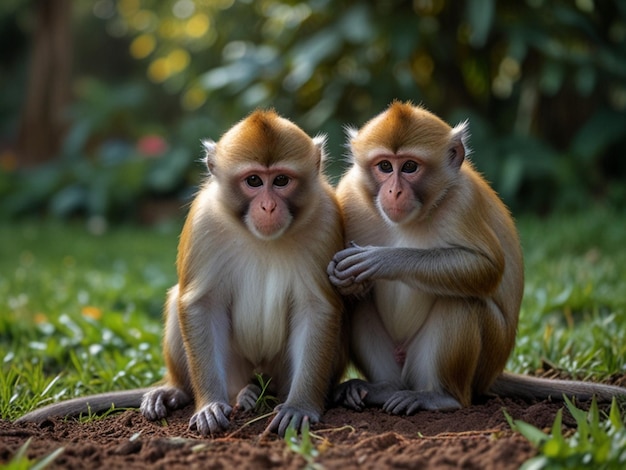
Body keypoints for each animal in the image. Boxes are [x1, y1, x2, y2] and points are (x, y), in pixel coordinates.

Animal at [17, 111, 346, 436]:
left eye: (281, 180)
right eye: (253, 180)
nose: (267, 206)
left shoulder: (326, 217)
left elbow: (317, 307)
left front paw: (299, 406)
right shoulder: (204, 219)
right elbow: (201, 304)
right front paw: (210, 404)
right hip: (234, 369)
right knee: (180, 298)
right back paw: (208, 392)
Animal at [326, 101, 624, 414]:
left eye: (409, 167)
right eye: (384, 166)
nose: (394, 191)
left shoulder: (462, 201)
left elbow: (485, 269)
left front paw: (381, 260)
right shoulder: (349, 194)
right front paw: (345, 278)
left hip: (480, 362)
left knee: (461, 301)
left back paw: (442, 396)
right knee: (359, 307)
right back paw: (383, 388)